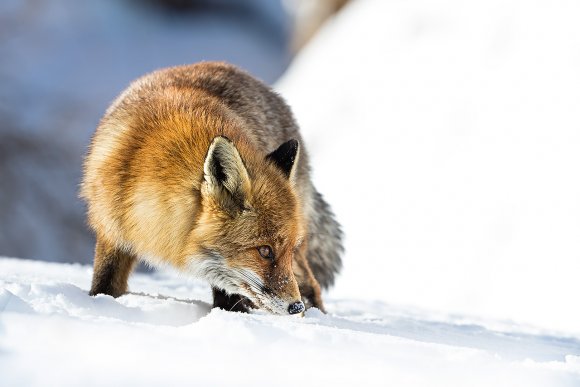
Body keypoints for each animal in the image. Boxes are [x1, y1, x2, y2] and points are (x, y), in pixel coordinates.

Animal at [82, 61, 344, 316]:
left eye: (287, 250)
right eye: (265, 251)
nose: (295, 306)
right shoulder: (111, 230)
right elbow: (103, 285)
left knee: (312, 286)